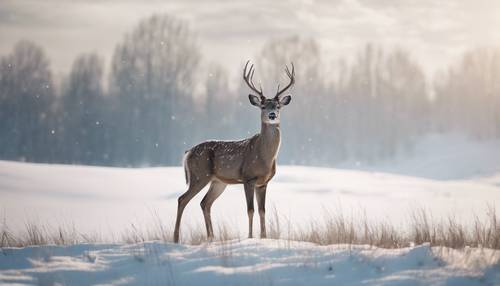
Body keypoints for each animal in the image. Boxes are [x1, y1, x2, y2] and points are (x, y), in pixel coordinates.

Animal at [174, 60, 294, 244]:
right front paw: (250, 237)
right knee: (182, 199)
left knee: (205, 203)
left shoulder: (263, 182)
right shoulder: (248, 178)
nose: (272, 115)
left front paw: (264, 237)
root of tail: (188, 152)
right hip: (199, 175)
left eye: (278, 106)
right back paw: (176, 238)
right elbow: (250, 210)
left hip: (218, 181)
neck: (264, 157)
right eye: (263, 106)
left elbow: (262, 211)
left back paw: (211, 237)